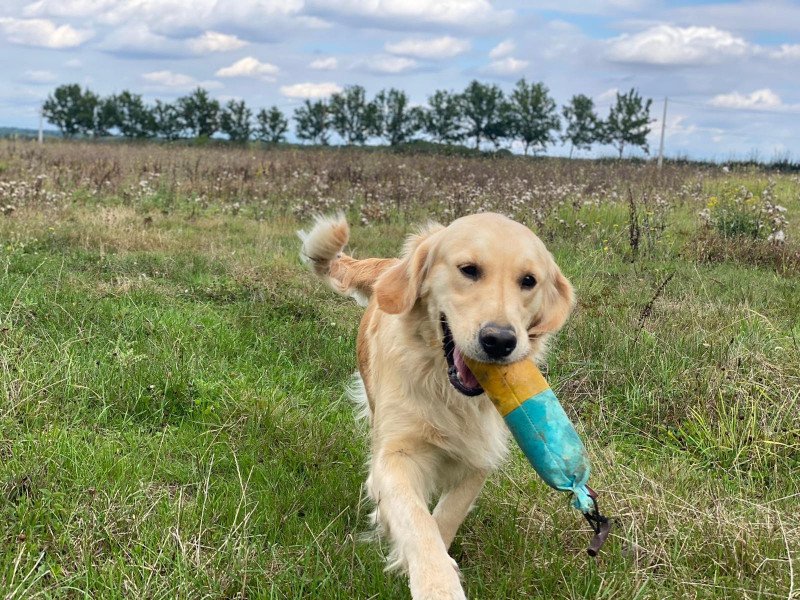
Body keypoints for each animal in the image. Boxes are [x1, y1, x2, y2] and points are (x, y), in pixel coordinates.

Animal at [300, 213, 576, 596]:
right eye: (469, 270)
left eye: (529, 281)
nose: (499, 341)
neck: (447, 391)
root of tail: (390, 265)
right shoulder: (396, 453)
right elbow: (417, 522)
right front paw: (436, 585)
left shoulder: (480, 453)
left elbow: (447, 515)